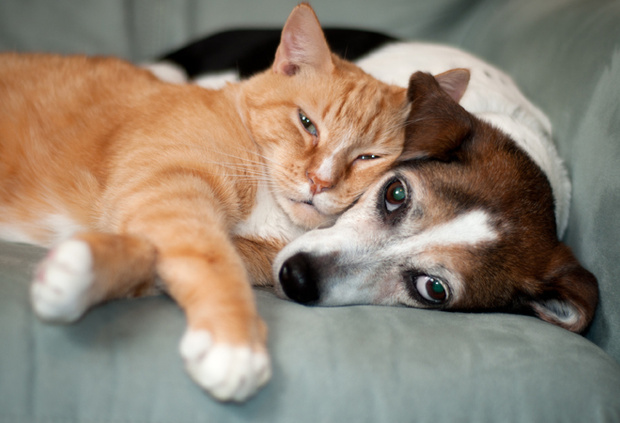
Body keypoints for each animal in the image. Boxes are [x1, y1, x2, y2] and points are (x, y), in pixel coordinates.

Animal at [1, 3, 416, 400]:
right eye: (306, 122)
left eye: (368, 157)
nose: (320, 181)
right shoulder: (171, 187)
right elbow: (211, 258)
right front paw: (234, 345)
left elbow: (153, 257)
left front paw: (78, 273)